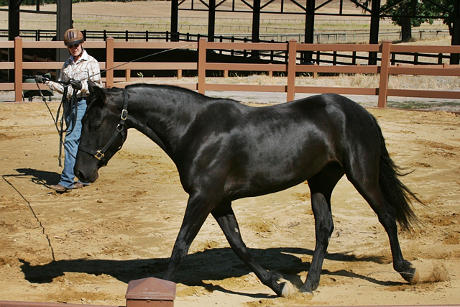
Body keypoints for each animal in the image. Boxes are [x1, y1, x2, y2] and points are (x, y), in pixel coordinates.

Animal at [74, 83, 420, 298]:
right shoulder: (219, 202)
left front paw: (160, 289)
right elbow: (239, 245)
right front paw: (279, 286)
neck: (196, 129)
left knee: (387, 216)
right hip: (321, 182)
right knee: (324, 228)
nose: (81, 172)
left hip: (361, 175)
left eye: (94, 123)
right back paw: (308, 285)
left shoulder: (203, 198)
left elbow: (180, 246)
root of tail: (361, 113)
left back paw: (406, 270)